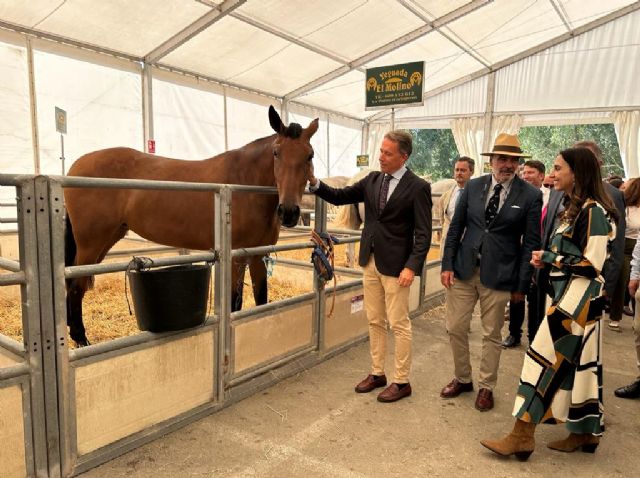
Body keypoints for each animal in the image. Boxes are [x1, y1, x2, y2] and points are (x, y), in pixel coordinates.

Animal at [63, 106, 318, 346]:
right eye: (276, 152)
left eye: (310, 155)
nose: (289, 212)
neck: (245, 183)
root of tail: (74, 167)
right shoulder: (236, 257)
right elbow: (234, 304)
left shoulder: (258, 255)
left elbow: (261, 299)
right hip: (91, 243)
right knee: (75, 286)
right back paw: (81, 340)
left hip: (107, 239)